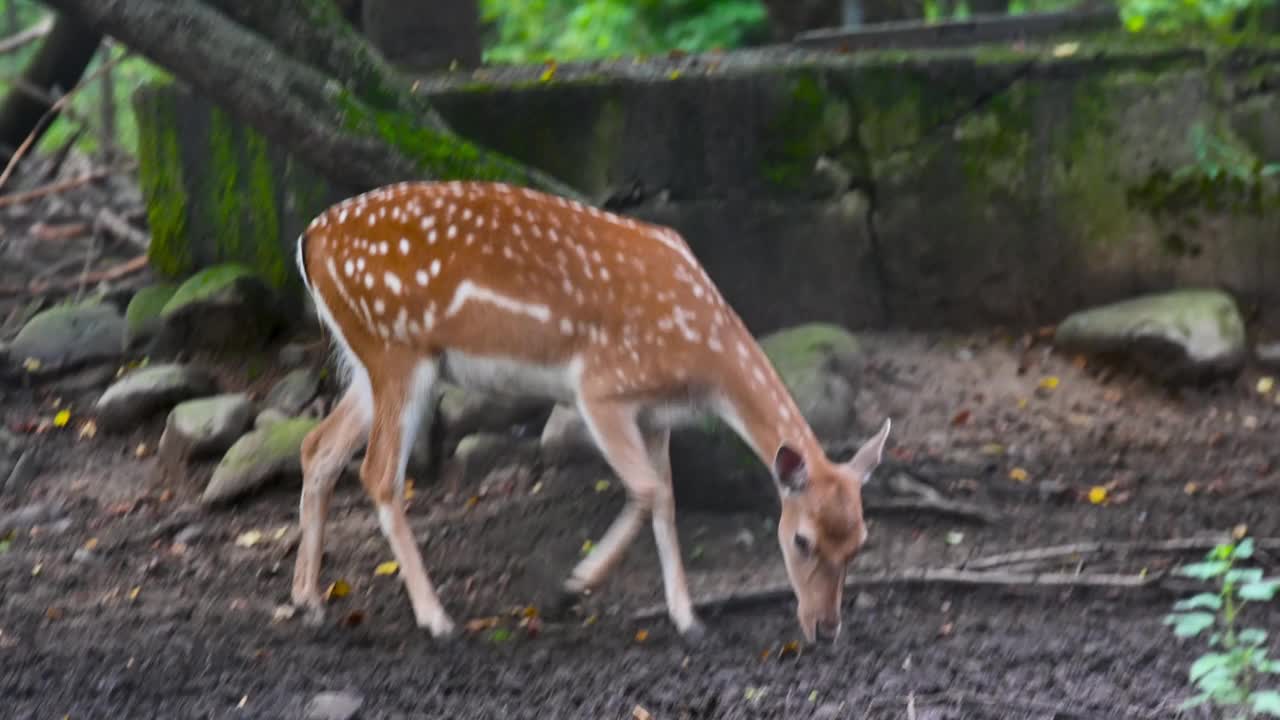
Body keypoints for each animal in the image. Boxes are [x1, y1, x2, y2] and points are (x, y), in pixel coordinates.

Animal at [290, 180, 890, 645]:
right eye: (801, 540)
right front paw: (572, 587)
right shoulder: (601, 388)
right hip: (397, 350)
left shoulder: (655, 414)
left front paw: (688, 619)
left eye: (861, 542)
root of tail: (308, 239)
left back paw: (308, 603)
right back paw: (437, 620)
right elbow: (647, 490)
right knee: (378, 473)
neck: (699, 352)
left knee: (317, 447)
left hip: (371, 361)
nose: (825, 628)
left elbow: (667, 500)